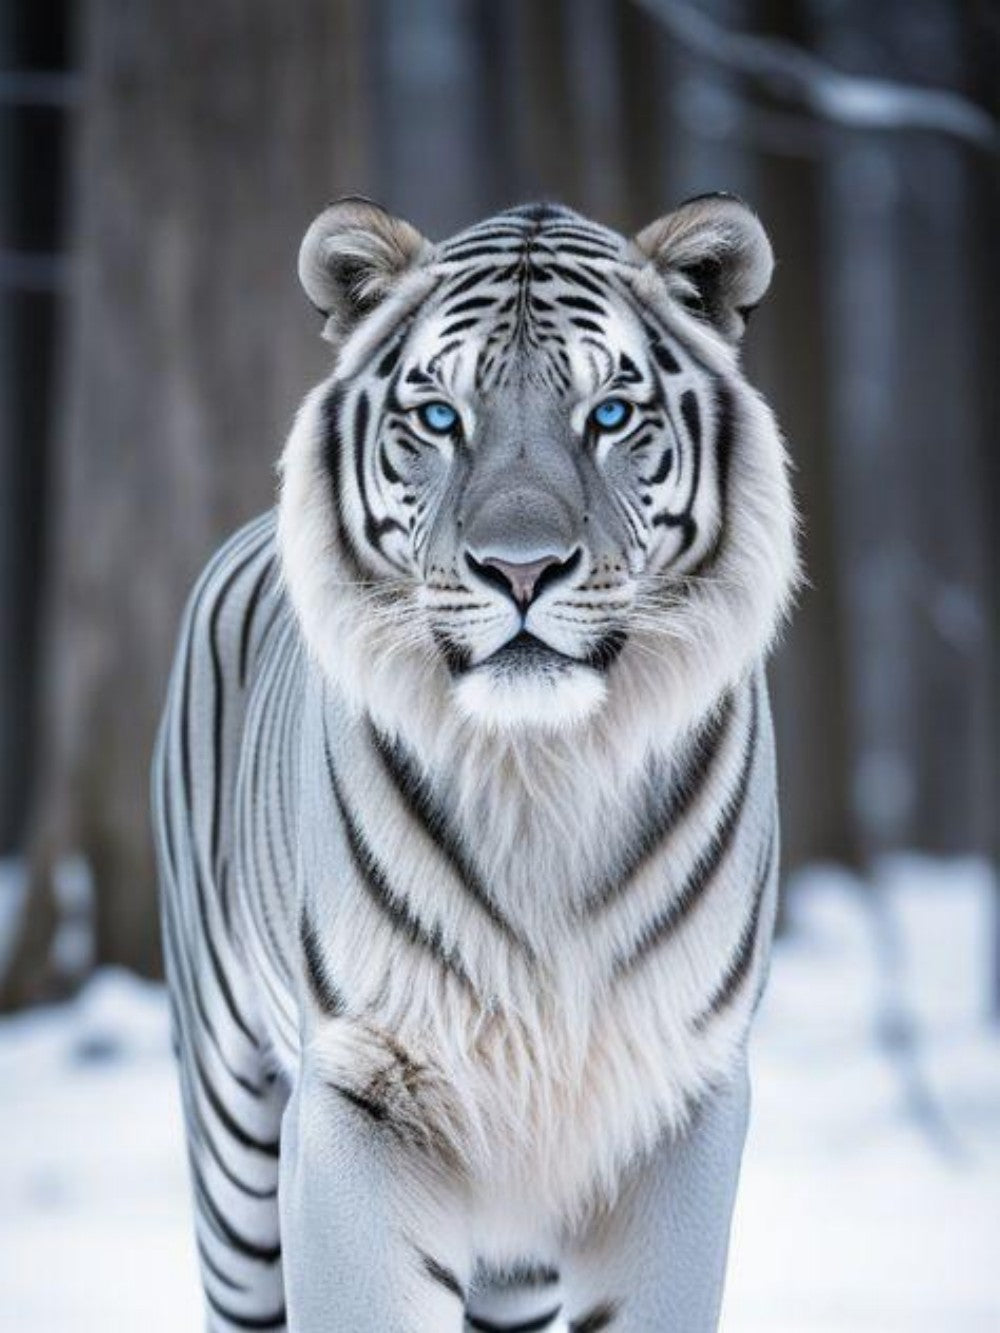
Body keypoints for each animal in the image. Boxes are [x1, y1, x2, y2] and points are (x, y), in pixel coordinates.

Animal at [152, 194, 798, 1332]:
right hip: (229, 1125)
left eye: (610, 415)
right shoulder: (366, 1088)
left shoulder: (681, 1088)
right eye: (441, 418)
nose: (521, 568)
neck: (544, 771)